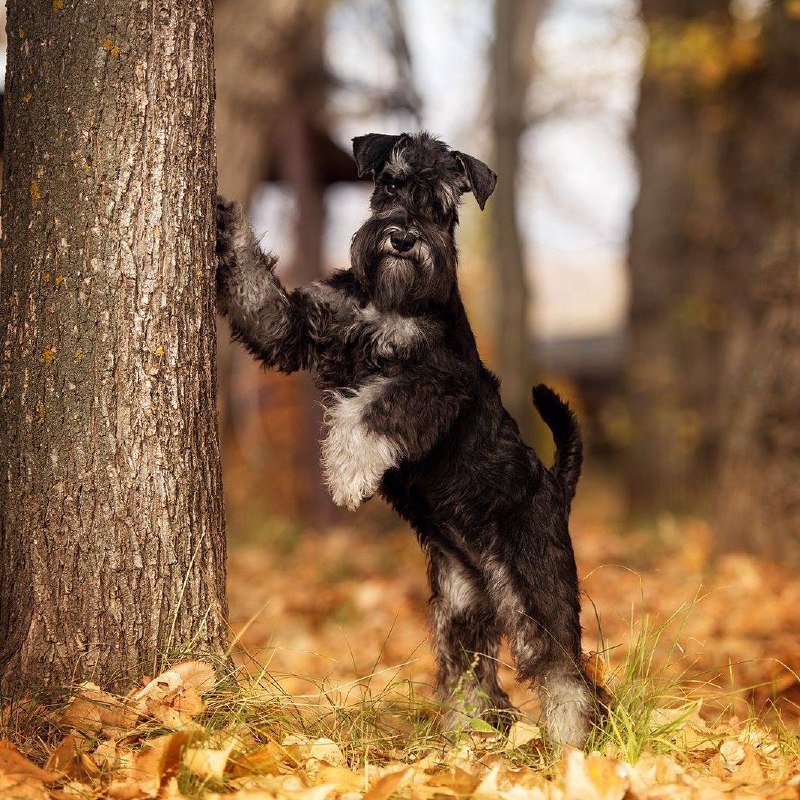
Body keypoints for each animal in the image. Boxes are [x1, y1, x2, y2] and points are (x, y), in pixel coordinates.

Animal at [216, 131, 604, 752]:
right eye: (392, 184)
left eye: (444, 203)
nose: (403, 237)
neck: (389, 301)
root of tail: (556, 489)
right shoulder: (303, 326)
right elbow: (262, 299)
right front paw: (227, 222)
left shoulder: (436, 385)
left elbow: (373, 408)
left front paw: (346, 473)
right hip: (461, 603)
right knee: (472, 676)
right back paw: (468, 738)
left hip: (534, 592)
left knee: (566, 672)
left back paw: (573, 747)